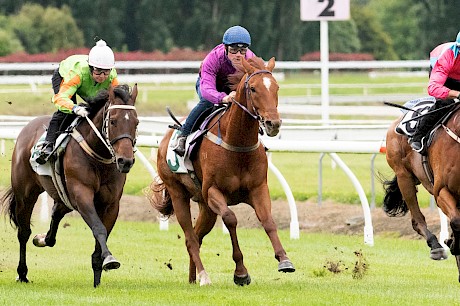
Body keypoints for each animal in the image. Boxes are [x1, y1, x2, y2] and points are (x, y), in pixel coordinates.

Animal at [0, 83, 139, 286]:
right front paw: (110, 259)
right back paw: (22, 273)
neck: (98, 156)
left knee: (56, 213)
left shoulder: (111, 204)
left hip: (63, 196)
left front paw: (98, 279)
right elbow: (98, 228)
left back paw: (41, 239)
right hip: (25, 194)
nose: (126, 161)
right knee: (23, 232)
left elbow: (102, 233)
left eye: (136, 123)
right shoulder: (82, 195)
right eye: (113, 121)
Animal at [150, 56, 294, 286]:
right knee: (190, 238)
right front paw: (241, 272)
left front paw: (284, 260)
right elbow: (230, 218)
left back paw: (193, 278)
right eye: (253, 88)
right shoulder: (213, 191)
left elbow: (268, 221)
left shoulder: (258, 189)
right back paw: (204, 276)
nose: (274, 124)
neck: (236, 143)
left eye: (276, 87)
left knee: (197, 236)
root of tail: (165, 139)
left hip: (205, 207)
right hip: (178, 193)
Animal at [382, 99, 460, 280]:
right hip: (404, 176)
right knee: (417, 219)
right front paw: (452, 244)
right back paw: (436, 246)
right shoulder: (441, 191)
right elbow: (456, 221)